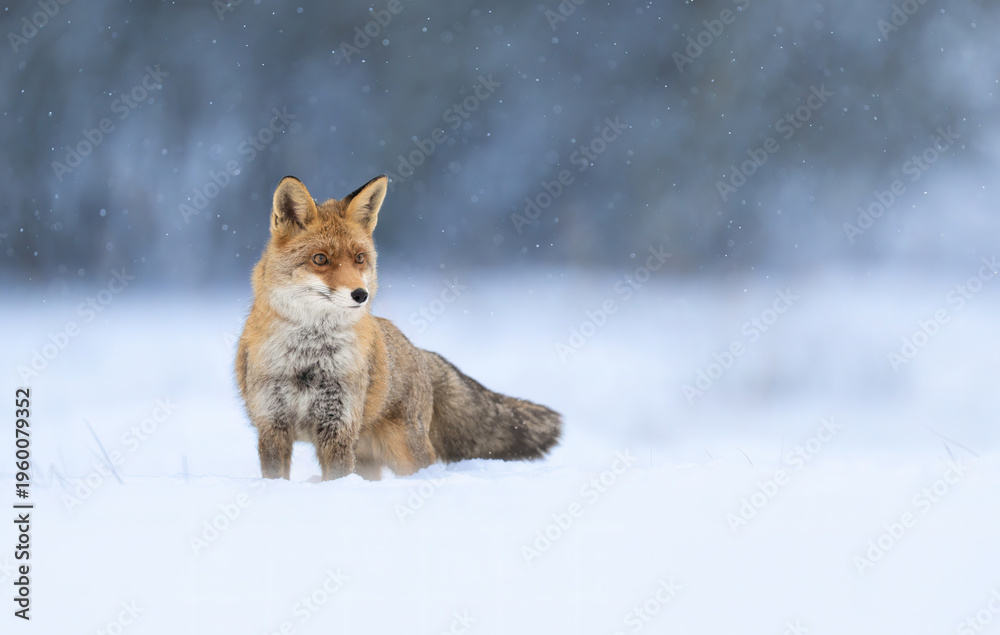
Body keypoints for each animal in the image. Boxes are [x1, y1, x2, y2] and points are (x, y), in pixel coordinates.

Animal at [235, 175, 562, 481]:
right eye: (320, 259)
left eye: (359, 258)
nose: (360, 294)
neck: (309, 359)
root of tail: (418, 351)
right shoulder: (272, 424)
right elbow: (275, 476)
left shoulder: (338, 425)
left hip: (404, 451)